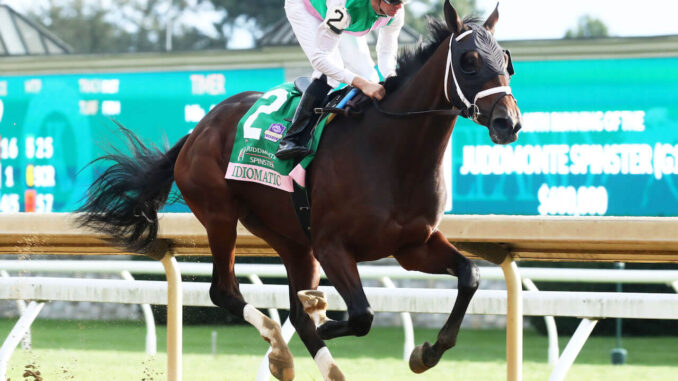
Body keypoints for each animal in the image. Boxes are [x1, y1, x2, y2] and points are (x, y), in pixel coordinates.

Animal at [81, 1, 524, 378]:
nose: (509, 122)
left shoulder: (413, 245)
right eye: (468, 62)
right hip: (221, 217)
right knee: (226, 291)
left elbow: (469, 276)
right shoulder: (332, 245)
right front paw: (329, 318)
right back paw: (280, 350)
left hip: (292, 238)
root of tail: (198, 129)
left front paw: (426, 352)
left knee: (291, 308)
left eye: (506, 61)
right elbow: (361, 315)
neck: (390, 150)